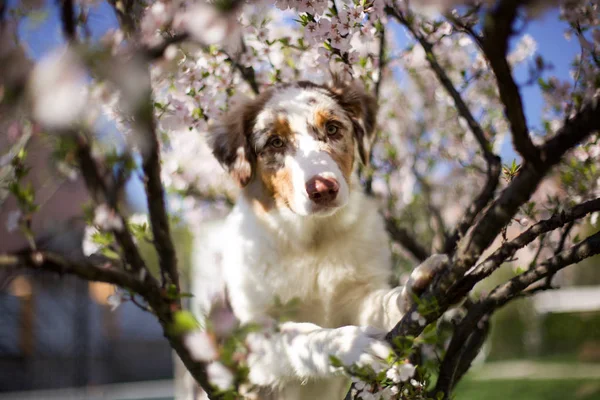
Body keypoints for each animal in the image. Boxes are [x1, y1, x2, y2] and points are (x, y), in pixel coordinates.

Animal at [188, 79, 446, 400]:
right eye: (275, 142)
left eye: (333, 128)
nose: (323, 189)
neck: (312, 240)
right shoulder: (249, 335)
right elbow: (298, 335)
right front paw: (350, 345)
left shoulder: (354, 296)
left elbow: (380, 303)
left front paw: (413, 290)